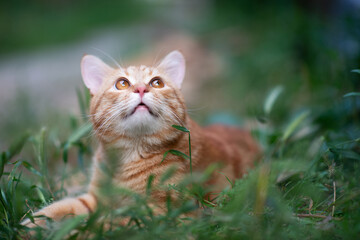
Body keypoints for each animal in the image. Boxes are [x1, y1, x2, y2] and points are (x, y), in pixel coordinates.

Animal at [21, 50, 258, 227]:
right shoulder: (94, 199)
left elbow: (103, 224)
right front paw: (28, 228)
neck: (129, 156)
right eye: (122, 83)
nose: (142, 88)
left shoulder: (161, 213)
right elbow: (55, 209)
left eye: (157, 82)